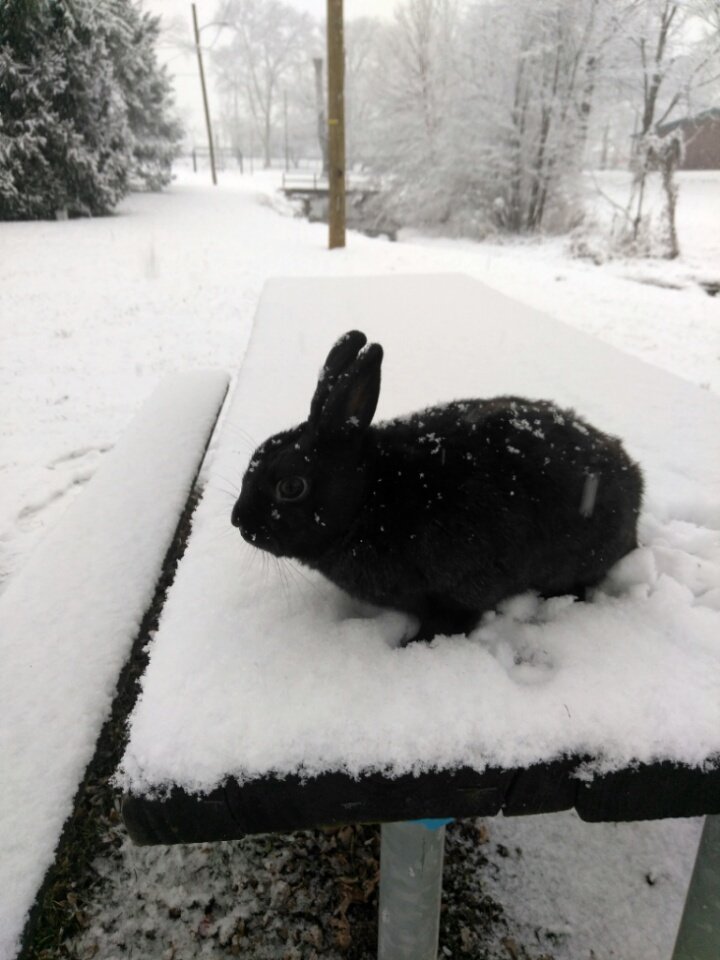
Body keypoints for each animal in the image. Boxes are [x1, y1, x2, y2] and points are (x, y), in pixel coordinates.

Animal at [231, 330, 644, 641]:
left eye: (291, 487)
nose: (239, 522)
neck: (368, 498)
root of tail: (634, 476)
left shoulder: (459, 588)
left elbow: (452, 620)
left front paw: (412, 644)